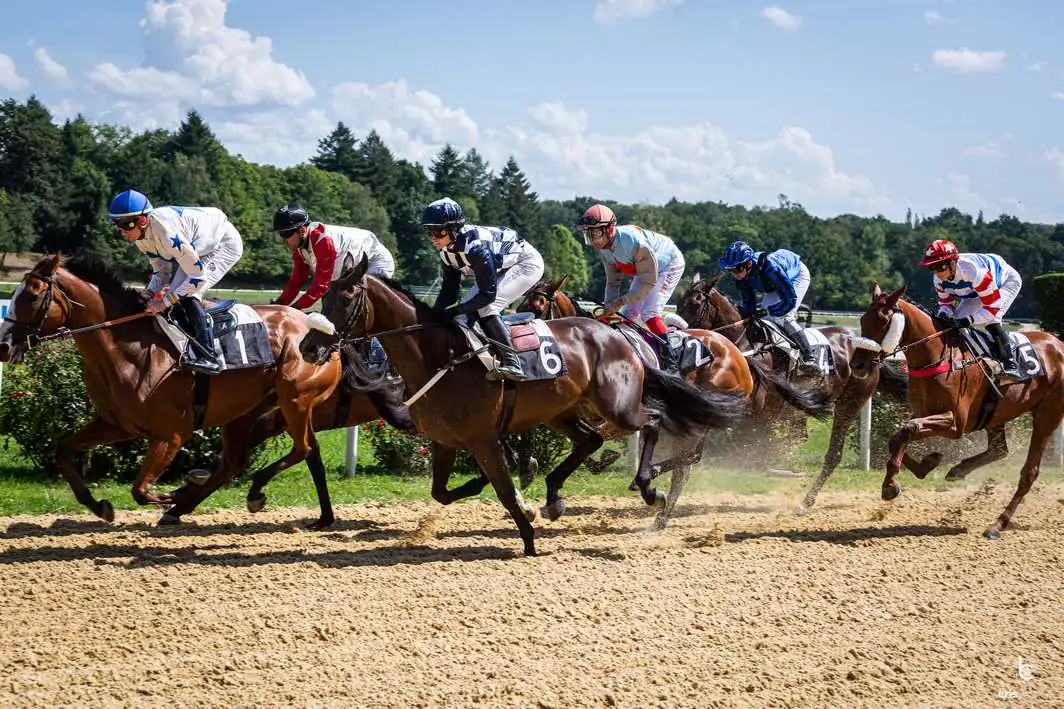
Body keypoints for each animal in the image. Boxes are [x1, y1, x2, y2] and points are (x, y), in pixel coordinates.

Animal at [0, 252, 342, 523]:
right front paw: (100, 506)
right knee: (234, 461)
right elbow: (63, 449)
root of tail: (321, 330)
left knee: (303, 448)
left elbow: (139, 490)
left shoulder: (171, 435)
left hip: (295, 399)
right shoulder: (116, 424)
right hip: (243, 411)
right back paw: (185, 503)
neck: (128, 349)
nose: (3, 346)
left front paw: (167, 495)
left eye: (32, 296)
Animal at [300, 256, 749, 553]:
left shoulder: (482, 439)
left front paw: (528, 535)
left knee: (653, 423)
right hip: (561, 412)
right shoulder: (446, 441)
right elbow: (442, 491)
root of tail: (621, 338)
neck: (437, 355)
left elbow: (501, 488)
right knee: (589, 442)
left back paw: (649, 488)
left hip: (617, 407)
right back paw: (555, 498)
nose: (308, 346)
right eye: (325, 296)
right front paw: (520, 498)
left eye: (346, 298)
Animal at [676, 269, 910, 508]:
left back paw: (807, 502)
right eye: (679, 303)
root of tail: (871, 352)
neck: (744, 347)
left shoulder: (756, 410)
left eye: (695, 303)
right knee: (799, 436)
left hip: (851, 402)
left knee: (833, 454)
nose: (680, 335)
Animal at [851, 281, 1064, 536]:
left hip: (1047, 414)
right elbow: (897, 436)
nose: (857, 365)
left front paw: (890, 485)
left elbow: (908, 429)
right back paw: (959, 470)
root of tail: (1059, 344)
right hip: (996, 414)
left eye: (883, 322)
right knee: (999, 450)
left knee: (1029, 472)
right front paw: (927, 464)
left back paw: (998, 524)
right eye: (863, 319)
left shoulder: (956, 424)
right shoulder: (924, 412)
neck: (936, 357)